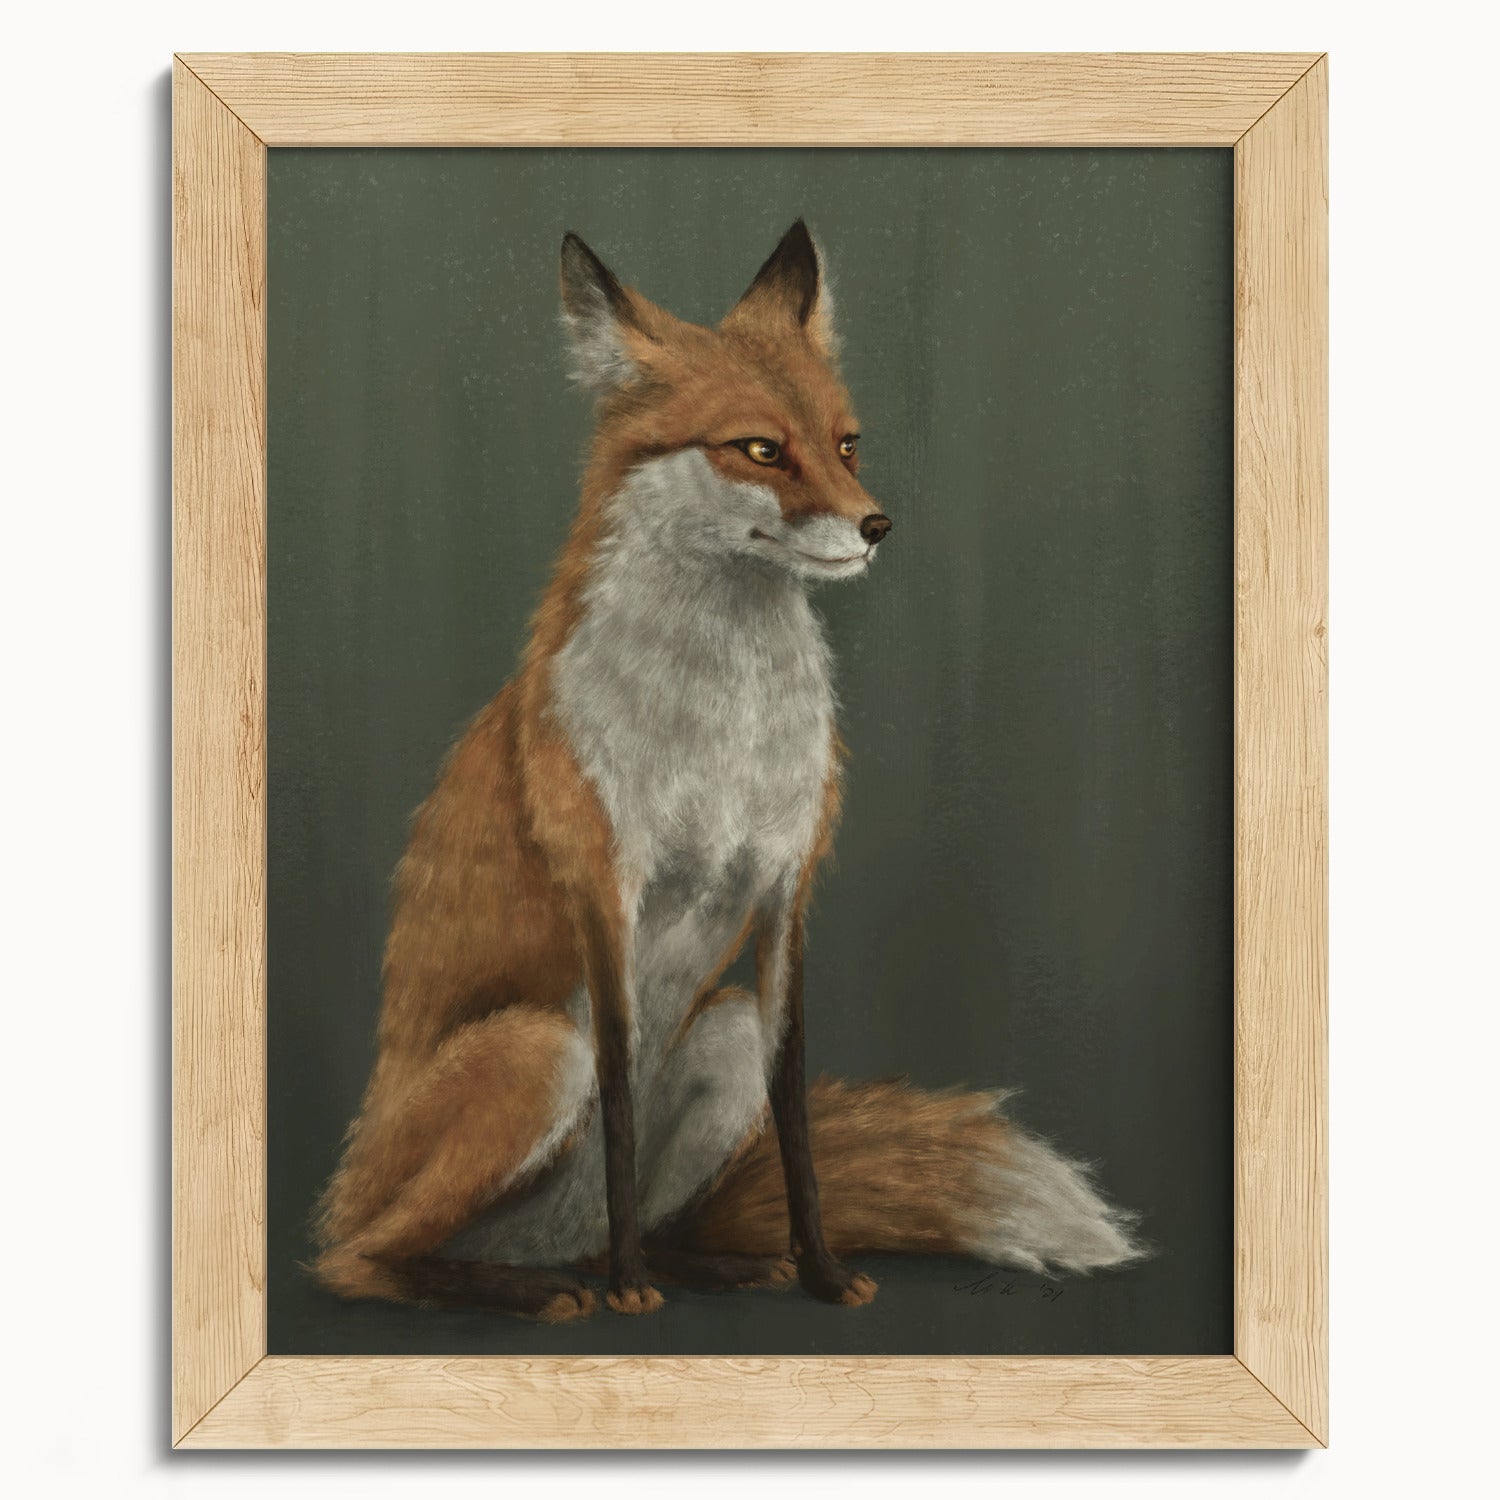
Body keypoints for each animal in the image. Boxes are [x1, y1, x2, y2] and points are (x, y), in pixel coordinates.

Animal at [312, 220, 1144, 1321]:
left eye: (846, 443)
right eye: (759, 449)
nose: (878, 525)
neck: (725, 731)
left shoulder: (787, 890)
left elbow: (794, 1116)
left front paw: (822, 1272)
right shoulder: (605, 891)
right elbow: (621, 1100)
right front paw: (630, 1293)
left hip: (722, 1033)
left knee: (641, 1215)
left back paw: (705, 1264)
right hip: (536, 1052)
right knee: (361, 1260)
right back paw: (543, 1287)